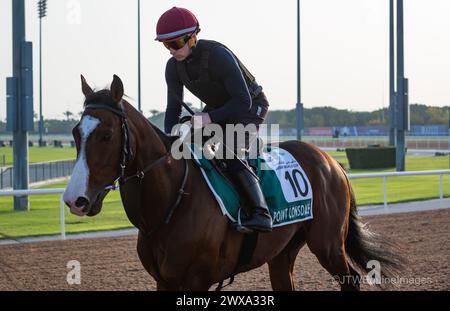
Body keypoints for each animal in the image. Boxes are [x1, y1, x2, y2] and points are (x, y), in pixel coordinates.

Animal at [61, 74, 402, 292]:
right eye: (76, 133)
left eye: (106, 135)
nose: (74, 199)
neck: (173, 201)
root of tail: (331, 161)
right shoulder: (164, 281)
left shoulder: (197, 280)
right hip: (283, 251)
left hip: (328, 243)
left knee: (351, 279)